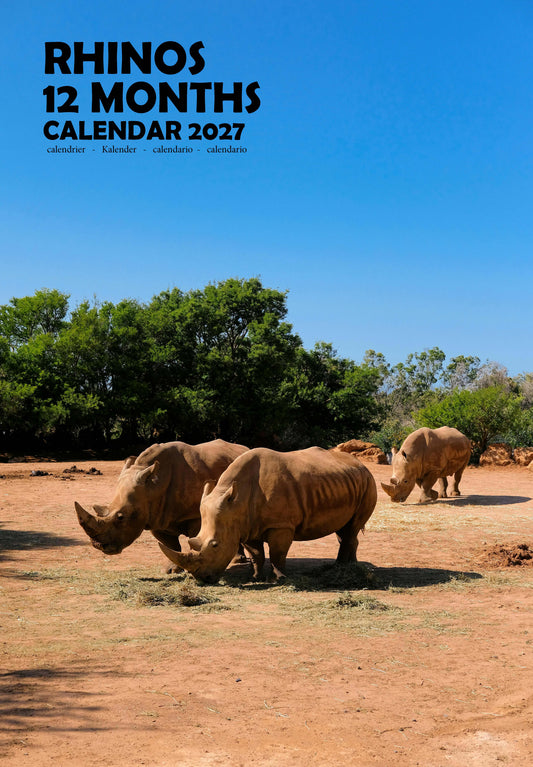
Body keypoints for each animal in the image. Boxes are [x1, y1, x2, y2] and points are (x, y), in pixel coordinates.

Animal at [74, 439, 248, 569]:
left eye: (121, 517)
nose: (97, 545)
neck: (153, 486)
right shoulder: (154, 515)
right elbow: (170, 545)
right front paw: (172, 570)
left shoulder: (194, 515)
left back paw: (238, 560)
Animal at [160, 446, 377, 583]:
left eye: (215, 545)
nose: (202, 579)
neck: (237, 502)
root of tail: (362, 465)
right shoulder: (245, 524)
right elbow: (256, 553)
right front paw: (255, 578)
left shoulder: (281, 525)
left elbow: (277, 553)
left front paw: (280, 579)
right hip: (348, 481)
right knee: (345, 529)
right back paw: (349, 566)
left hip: (368, 482)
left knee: (351, 529)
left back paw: (341, 568)